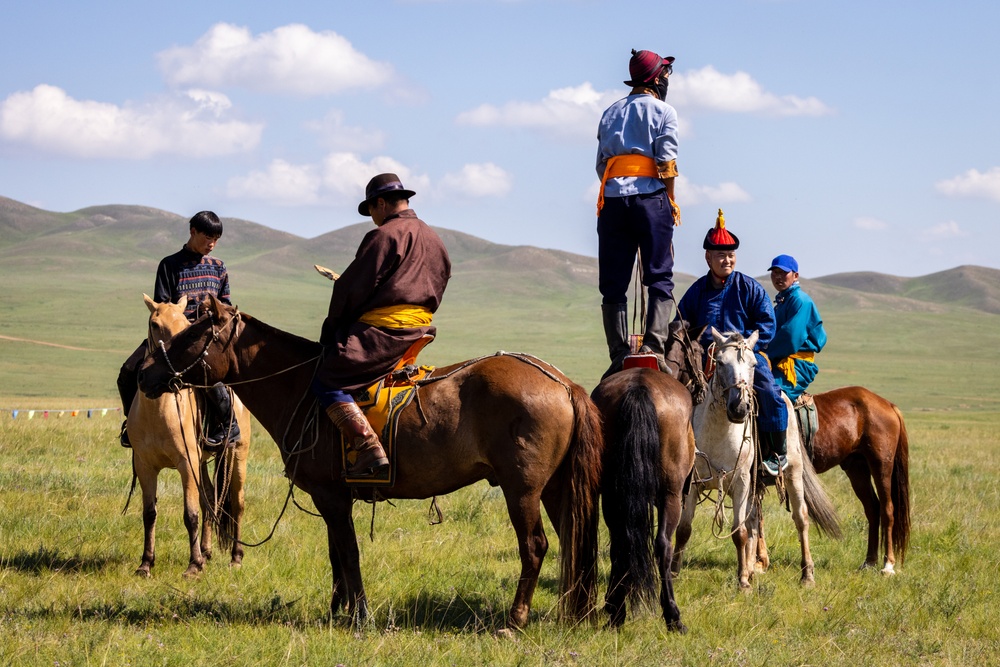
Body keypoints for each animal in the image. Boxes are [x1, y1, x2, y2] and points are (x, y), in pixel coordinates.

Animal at [124, 296, 252, 580]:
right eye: (155, 324)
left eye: (186, 326)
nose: (156, 373)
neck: (160, 410)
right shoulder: (145, 466)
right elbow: (149, 514)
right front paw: (146, 564)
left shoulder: (186, 463)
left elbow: (190, 514)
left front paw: (193, 565)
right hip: (202, 463)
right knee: (210, 499)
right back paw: (206, 551)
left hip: (237, 454)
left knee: (236, 504)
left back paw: (236, 558)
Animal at [140, 294, 600, 628]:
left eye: (190, 336)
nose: (144, 376)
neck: (300, 389)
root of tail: (562, 383)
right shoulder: (332, 498)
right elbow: (336, 555)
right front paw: (336, 610)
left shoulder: (331, 497)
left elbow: (349, 553)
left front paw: (358, 615)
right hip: (554, 489)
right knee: (572, 542)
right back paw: (571, 615)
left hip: (522, 490)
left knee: (535, 546)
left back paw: (515, 620)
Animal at [592, 320, 704, 632]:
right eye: (700, 352)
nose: (703, 385)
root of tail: (639, 388)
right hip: (671, 494)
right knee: (662, 544)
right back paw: (673, 615)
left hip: (613, 491)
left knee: (621, 539)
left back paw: (616, 610)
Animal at [668, 328, 840, 588]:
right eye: (720, 362)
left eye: (752, 364)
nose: (739, 408)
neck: (719, 432)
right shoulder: (695, 483)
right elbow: (684, 529)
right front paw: (673, 574)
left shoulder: (740, 481)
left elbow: (739, 532)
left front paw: (743, 582)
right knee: (754, 523)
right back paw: (752, 566)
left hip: (793, 473)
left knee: (800, 519)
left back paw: (806, 574)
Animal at [756, 386, 916, 576]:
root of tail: (888, 405)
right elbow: (756, 517)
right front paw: (759, 562)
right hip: (857, 468)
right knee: (872, 509)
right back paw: (869, 562)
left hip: (881, 465)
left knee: (887, 510)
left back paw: (888, 565)